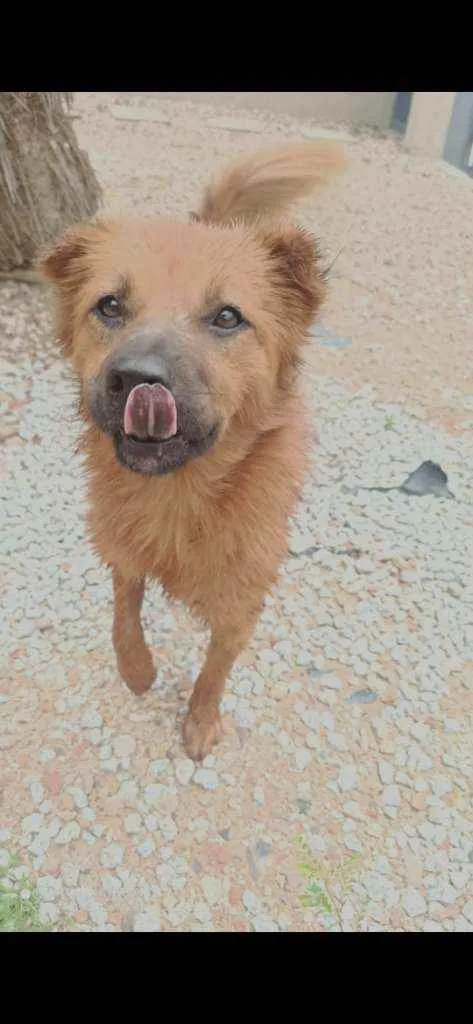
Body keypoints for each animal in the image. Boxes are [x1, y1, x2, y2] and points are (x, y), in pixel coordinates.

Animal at [39, 138, 344, 761]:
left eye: (227, 316)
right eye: (109, 305)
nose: (137, 378)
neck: (176, 497)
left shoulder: (242, 599)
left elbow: (216, 668)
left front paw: (201, 720)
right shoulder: (119, 545)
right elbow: (124, 610)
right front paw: (136, 670)